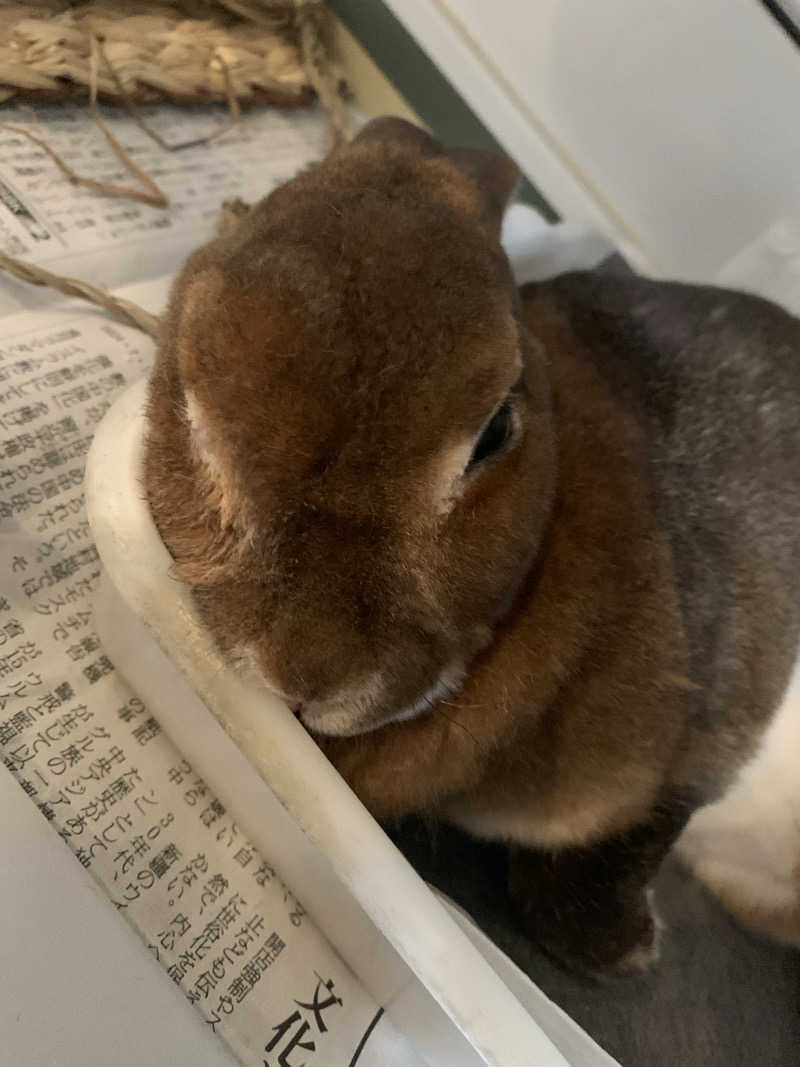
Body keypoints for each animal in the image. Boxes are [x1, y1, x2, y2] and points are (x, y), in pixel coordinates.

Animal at [144, 114, 800, 977]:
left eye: (495, 432)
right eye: (188, 405)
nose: (306, 672)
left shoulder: (701, 732)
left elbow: (633, 835)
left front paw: (624, 949)